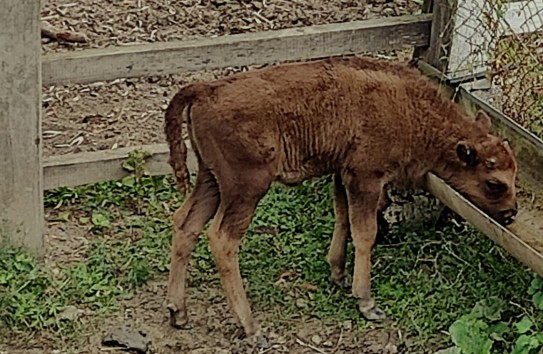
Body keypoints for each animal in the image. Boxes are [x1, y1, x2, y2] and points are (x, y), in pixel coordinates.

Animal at [163, 55, 520, 342]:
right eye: (494, 184)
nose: (511, 213)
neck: (408, 107)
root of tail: (205, 89)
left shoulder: (342, 174)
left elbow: (343, 217)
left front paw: (337, 273)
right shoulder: (366, 177)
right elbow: (365, 232)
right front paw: (366, 301)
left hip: (210, 179)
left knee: (186, 223)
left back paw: (178, 312)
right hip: (245, 189)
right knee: (222, 239)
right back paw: (251, 328)